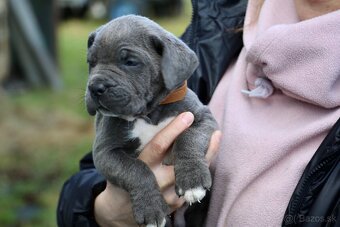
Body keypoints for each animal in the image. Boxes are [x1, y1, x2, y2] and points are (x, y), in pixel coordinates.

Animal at [85, 15, 218, 227]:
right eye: (91, 62)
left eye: (131, 62)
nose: (95, 87)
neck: (149, 113)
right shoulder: (105, 152)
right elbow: (135, 169)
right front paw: (150, 208)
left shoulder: (203, 118)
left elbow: (189, 138)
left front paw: (192, 180)